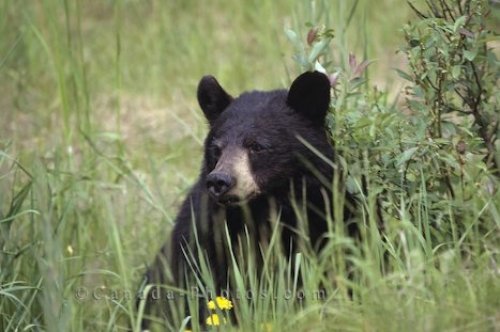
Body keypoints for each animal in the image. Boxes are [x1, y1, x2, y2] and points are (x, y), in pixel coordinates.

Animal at [139, 71, 354, 328]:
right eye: (217, 148)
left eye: (257, 146)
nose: (219, 181)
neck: (265, 209)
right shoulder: (206, 237)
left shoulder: (324, 218)